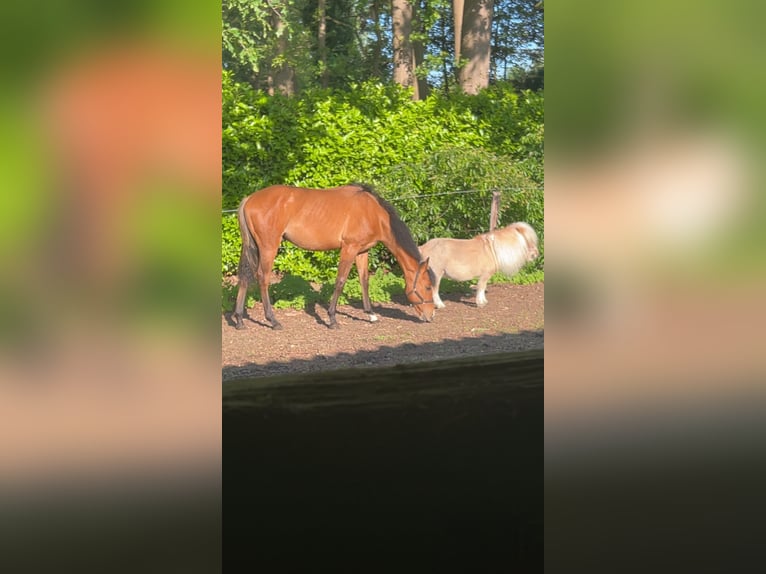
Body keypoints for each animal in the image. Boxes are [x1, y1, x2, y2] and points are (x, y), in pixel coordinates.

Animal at [233, 183, 436, 330]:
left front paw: (370, 314)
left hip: (253, 246)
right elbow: (340, 281)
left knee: (245, 277)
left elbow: (364, 281)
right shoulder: (349, 248)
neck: (373, 213)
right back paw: (273, 321)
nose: (431, 315)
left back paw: (240, 320)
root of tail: (249, 199)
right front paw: (332, 319)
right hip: (269, 247)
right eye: (427, 287)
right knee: (263, 277)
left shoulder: (362, 251)